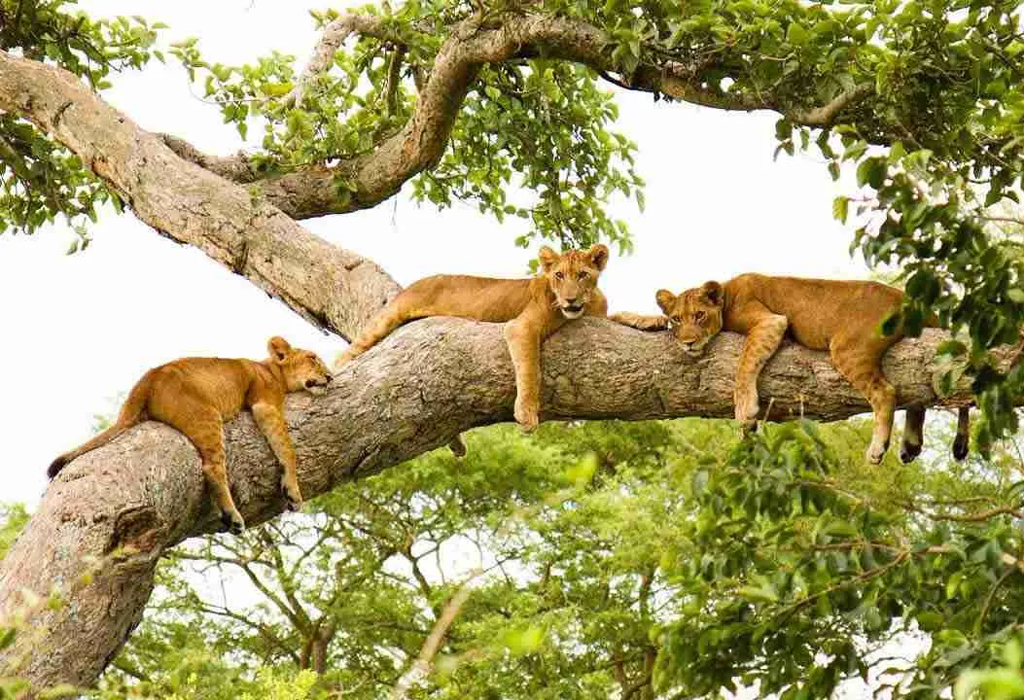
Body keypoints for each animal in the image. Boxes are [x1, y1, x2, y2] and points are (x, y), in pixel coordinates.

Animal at [48, 336, 333, 533]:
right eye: (312, 358)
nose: (330, 377)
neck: (270, 369)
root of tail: (147, 379)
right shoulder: (265, 403)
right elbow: (287, 449)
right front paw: (293, 492)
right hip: (207, 415)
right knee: (212, 467)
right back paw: (232, 516)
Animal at [335, 244, 610, 431]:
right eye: (559, 275)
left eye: (582, 275)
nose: (570, 299)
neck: (586, 305)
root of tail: (416, 282)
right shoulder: (521, 327)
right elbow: (530, 369)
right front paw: (527, 412)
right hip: (389, 317)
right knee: (349, 352)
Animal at [611, 274, 970, 465]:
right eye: (676, 319)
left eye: (699, 315)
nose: (687, 342)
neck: (726, 292)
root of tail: (908, 298)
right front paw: (627, 317)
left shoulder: (770, 321)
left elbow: (744, 365)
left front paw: (745, 411)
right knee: (919, 395)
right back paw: (911, 445)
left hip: (848, 348)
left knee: (887, 393)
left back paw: (878, 448)